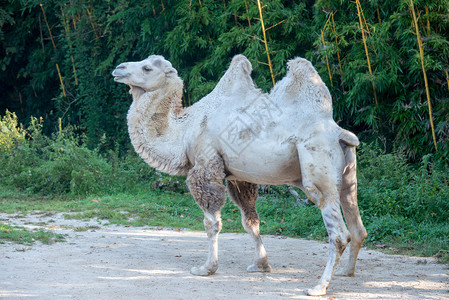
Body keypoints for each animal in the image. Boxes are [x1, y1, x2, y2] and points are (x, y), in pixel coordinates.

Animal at [111, 54, 364, 296]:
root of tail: (338, 133)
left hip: (317, 167)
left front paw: (207, 268)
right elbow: (250, 221)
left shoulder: (206, 165)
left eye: (147, 68)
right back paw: (346, 271)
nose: (118, 69)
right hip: (347, 176)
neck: (184, 130)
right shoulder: (239, 176)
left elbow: (211, 222)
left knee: (338, 233)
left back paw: (318, 287)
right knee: (357, 225)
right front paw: (261, 265)